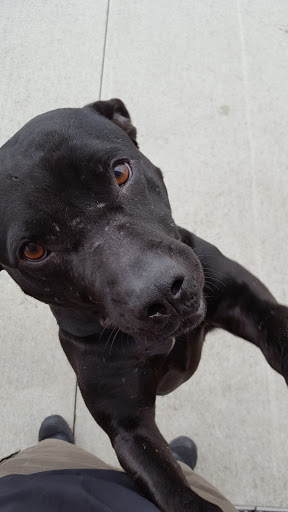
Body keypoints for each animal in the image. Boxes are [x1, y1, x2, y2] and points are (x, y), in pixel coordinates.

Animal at [0, 98, 286, 510]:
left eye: (120, 172)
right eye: (34, 251)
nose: (163, 292)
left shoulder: (246, 298)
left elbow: (278, 328)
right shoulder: (131, 429)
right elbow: (174, 490)